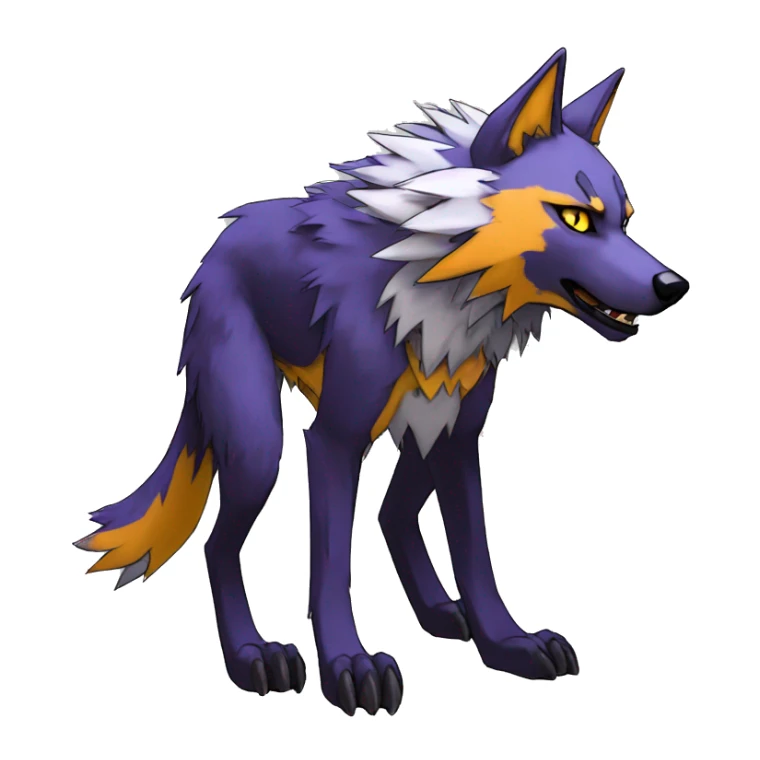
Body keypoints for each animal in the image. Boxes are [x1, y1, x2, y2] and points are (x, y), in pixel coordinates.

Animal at [76, 49, 689, 716]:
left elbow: (476, 556)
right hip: (262, 447)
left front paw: (507, 646)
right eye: (576, 217)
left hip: (424, 427)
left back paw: (441, 613)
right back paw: (251, 655)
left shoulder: (457, 437)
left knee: (391, 514)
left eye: (627, 220)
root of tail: (216, 245)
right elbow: (332, 564)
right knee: (219, 545)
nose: (675, 286)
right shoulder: (334, 441)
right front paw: (349, 664)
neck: (440, 286)